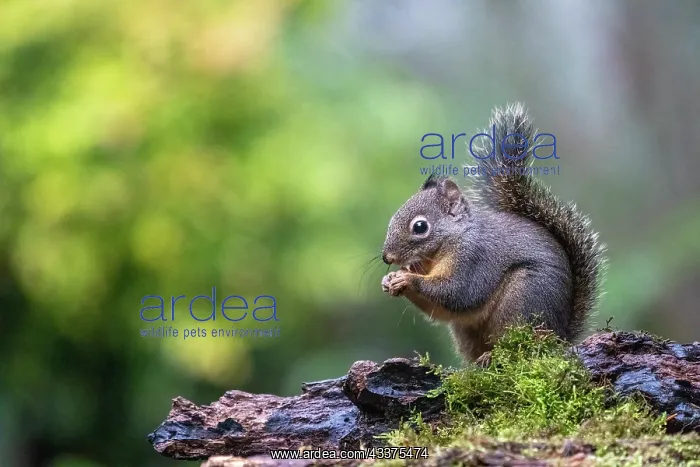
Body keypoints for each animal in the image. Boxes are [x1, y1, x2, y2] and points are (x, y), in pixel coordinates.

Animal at [380, 103, 605, 363]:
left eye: (420, 227)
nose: (387, 258)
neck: (452, 240)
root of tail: (560, 336)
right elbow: (440, 309)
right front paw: (389, 280)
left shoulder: (474, 257)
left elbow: (458, 292)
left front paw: (406, 278)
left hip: (522, 300)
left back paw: (495, 355)